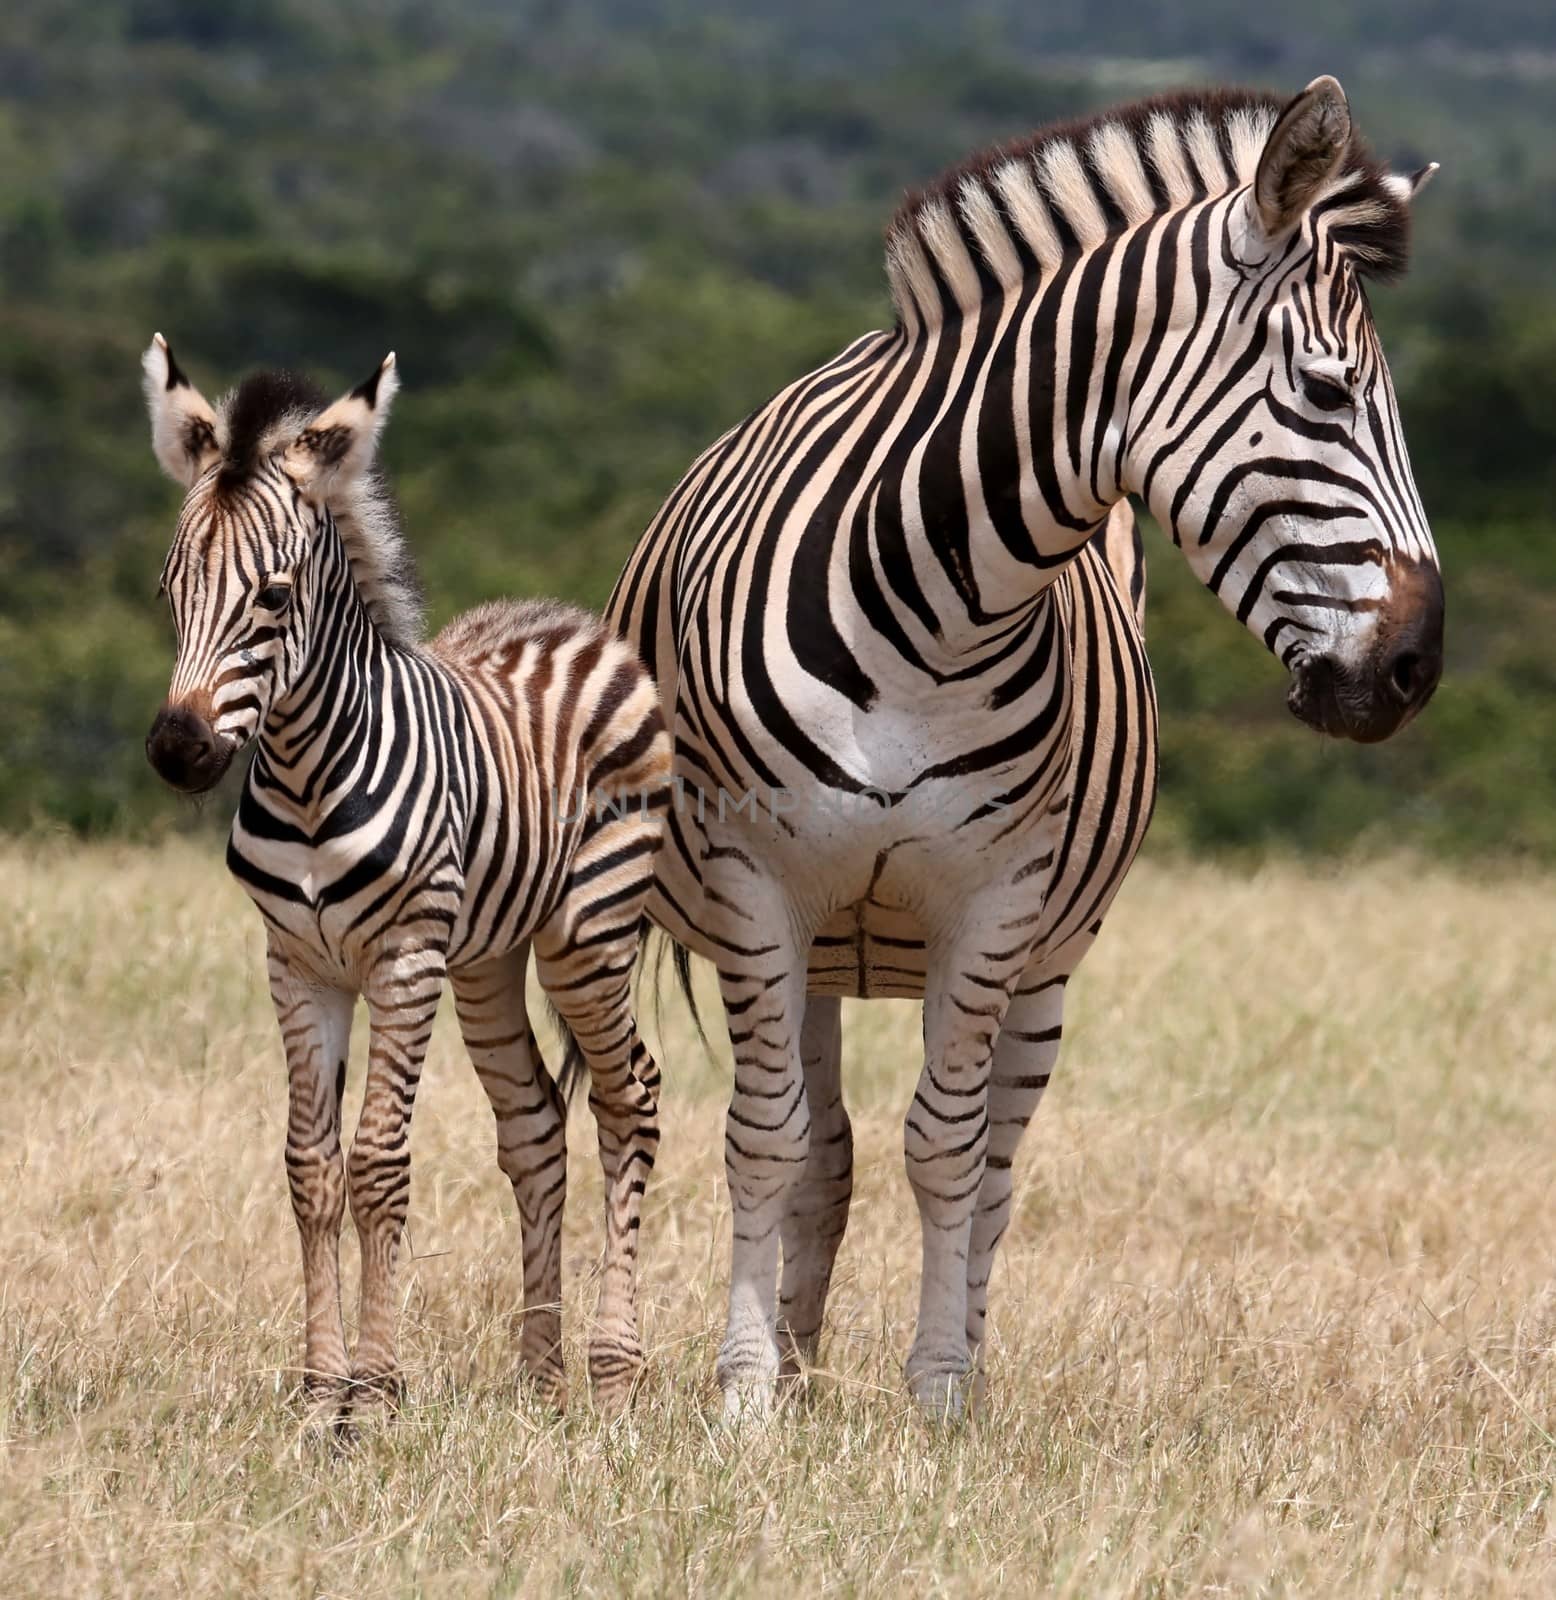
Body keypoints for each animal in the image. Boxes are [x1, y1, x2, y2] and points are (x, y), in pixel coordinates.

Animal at [147, 340, 675, 1414]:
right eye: (171, 589)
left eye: (271, 597)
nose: (177, 751)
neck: (308, 777)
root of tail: (574, 621)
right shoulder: (297, 964)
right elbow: (311, 1167)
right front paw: (320, 1389)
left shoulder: (402, 957)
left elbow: (381, 1161)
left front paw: (377, 1392)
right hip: (486, 959)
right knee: (534, 1125)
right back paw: (539, 1374)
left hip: (586, 933)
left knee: (630, 1099)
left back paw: (612, 1371)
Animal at [611, 81, 1447, 1420]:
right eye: (1325, 395)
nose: (1415, 669)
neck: (929, 607)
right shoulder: (757, 885)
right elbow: (768, 1139)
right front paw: (744, 1396)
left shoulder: (995, 898)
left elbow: (946, 1151)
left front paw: (938, 1391)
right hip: (815, 941)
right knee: (819, 1143)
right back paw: (797, 1364)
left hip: (1045, 965)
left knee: (993, 1159)